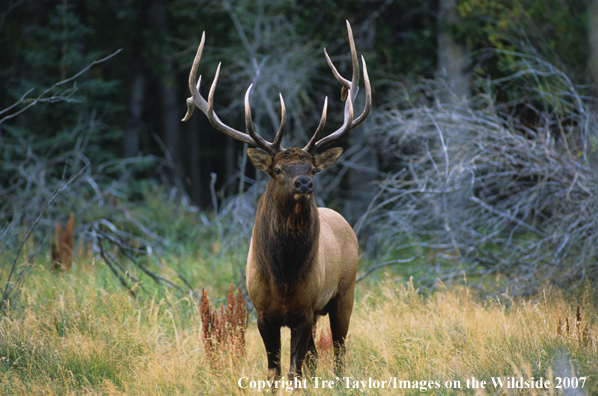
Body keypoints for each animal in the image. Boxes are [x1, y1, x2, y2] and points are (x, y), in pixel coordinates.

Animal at [180, 20, 372, 378]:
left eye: (312, 167)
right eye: (278, 169)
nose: (304, 183)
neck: (284, 279)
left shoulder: (304, 309)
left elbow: (294, 370)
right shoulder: (262, 313)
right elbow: (275, 370)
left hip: (345, 293)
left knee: (339, 349)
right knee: (315, 356)